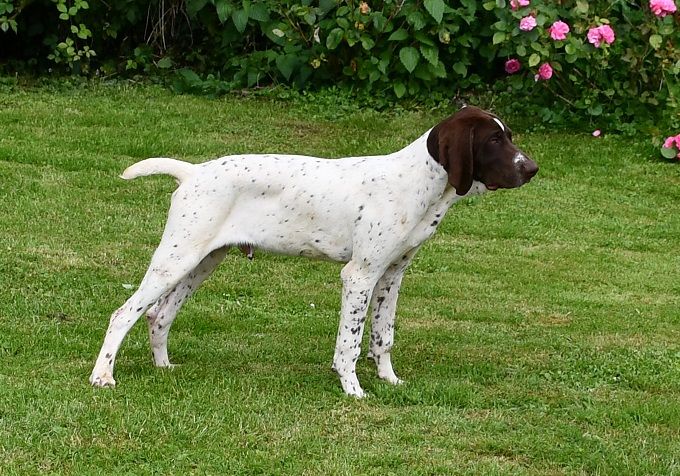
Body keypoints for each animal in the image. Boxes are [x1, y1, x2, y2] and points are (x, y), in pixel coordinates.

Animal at [90, 107, 536, 398]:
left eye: (509, 135)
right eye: (494, 140)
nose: (531, 169)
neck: (418, 183)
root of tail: (194, 171)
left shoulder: (392, 276)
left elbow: (383, 336)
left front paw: (389, 380)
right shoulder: (359, 275)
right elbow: (350, 343)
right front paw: (353, 389)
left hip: (202, 262)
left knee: (159, 314)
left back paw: (163, 367)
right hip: (176, 259)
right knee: (124, 313)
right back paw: (102, 376)